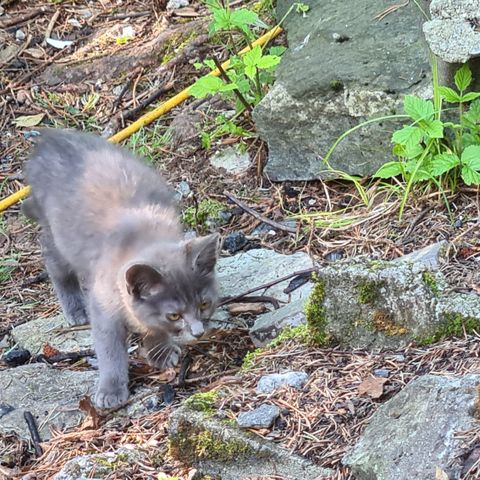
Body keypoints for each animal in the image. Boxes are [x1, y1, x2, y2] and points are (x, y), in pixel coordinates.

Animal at [23, 128, 221, 408]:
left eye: (204, 304)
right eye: (174, 315)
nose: (198, 332)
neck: (144, 236)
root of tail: (49, 140)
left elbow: (152, 326)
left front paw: (159, 351)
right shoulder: (103, 302)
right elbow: (109, 348)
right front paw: (111, 389)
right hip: (60, 236)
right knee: (53, 260)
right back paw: (74, 307)